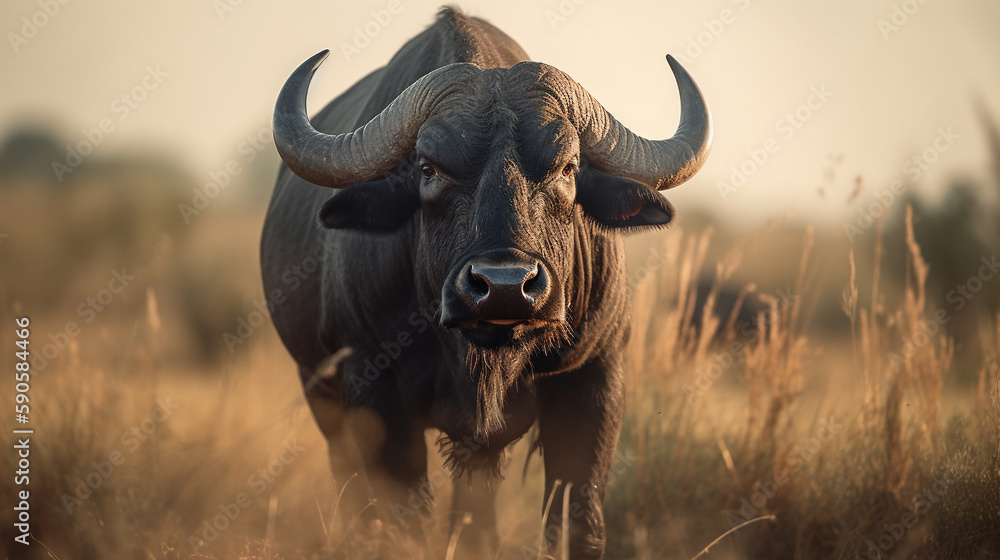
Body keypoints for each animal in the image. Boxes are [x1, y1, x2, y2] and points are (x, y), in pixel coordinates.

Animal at [261, 7, 711, 558]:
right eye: (428, 169)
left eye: (568, 167)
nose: (505, 286)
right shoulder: (370, 386)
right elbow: (399, 521)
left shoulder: (595, 378)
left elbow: (577, 521)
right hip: (320, 392)